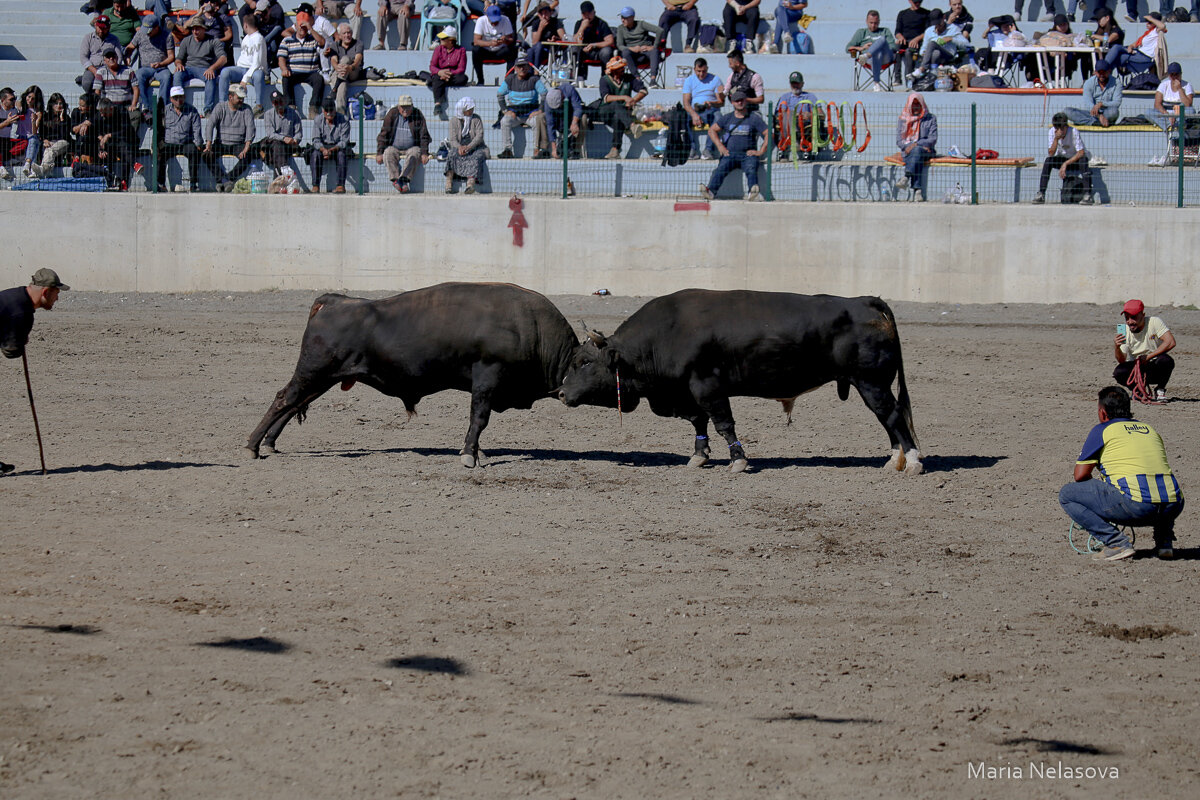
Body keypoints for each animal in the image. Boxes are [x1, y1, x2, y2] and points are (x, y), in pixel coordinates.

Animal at [244, 283, 580, 465]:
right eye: (586, 364)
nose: (567, 394)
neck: (531, 326)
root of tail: (334, 301)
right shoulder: (487, 376)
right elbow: (479, 418)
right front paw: (469, 454)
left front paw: (475, 451)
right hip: (314, 371)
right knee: (284, 399)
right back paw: (252, 447)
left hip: (325, 376)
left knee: (294, 403)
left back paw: (269, 443)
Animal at [556, 289, 921, 472]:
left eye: (584, 362)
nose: (560, 393)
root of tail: (863, 302)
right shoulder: (688, 392)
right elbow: (699, 422)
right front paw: (699, 455)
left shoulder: (708, 386)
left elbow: (723, 423)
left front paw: (738, 460)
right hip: (871, 384)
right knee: (889, 418)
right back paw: (895, 459)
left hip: (871, 382)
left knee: (892, 415)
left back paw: (913, 461)